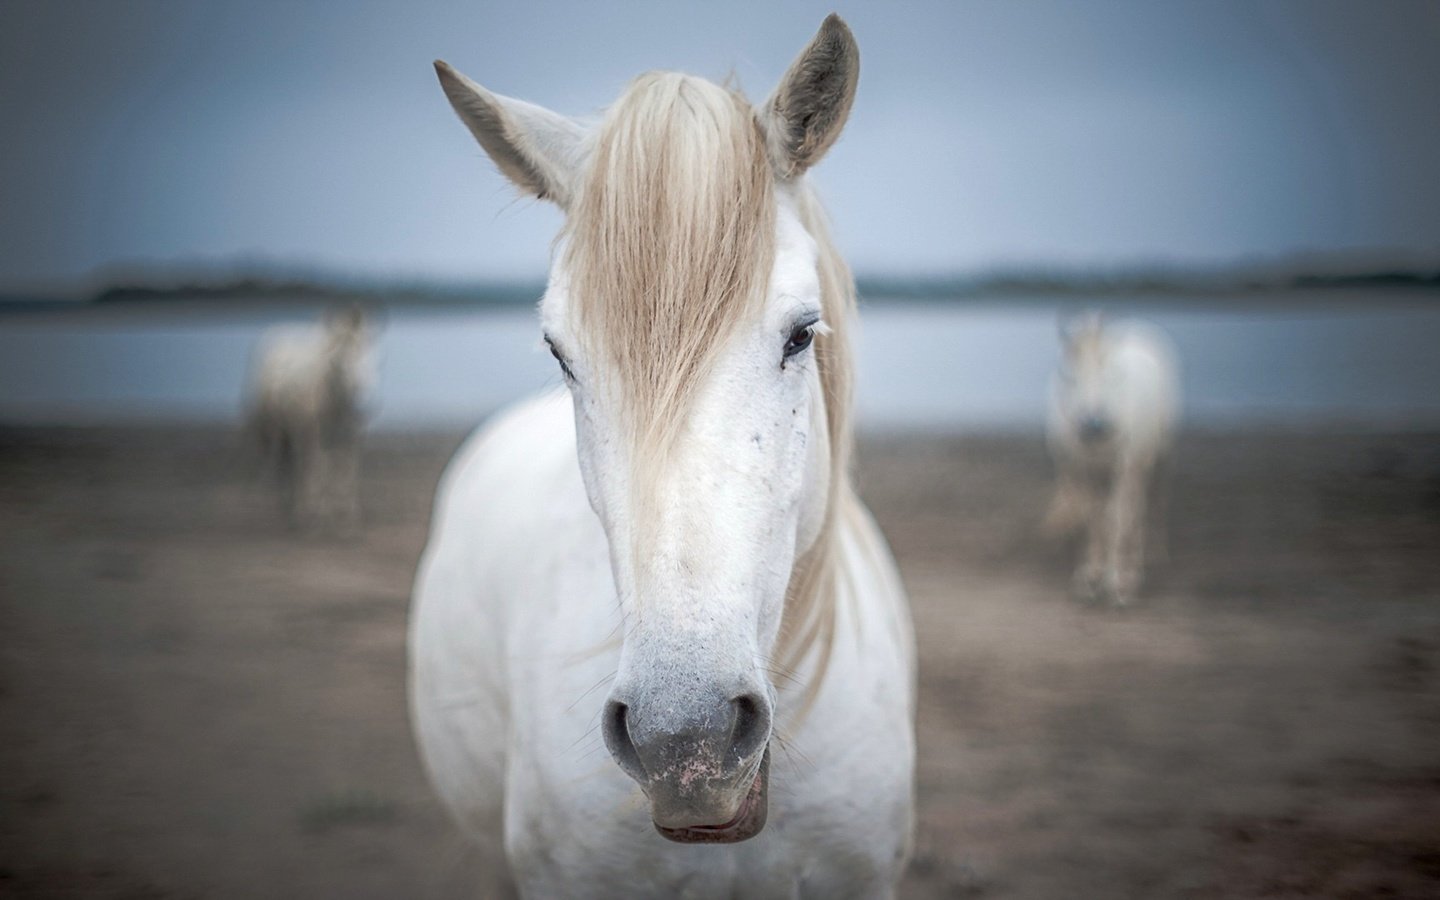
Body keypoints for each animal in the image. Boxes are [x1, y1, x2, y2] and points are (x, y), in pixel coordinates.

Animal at [244, 306, 374, 527]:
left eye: (368, 353)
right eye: (336, 359)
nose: (359, 392)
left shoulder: (349, 435)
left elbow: (346, 467)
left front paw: (347, 515)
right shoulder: (313, 433)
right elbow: (317, 466)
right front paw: (313, 514)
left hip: (290, 429)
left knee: (289, 461)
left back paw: (289, 505)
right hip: (273, 426)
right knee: (280, 461)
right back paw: (283, 507)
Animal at [1048, 313, 1180, 604]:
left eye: (1109, 373)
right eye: (1069, 376)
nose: (1093, 424)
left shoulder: (1125, 466)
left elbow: (1117, 518)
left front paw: (1119, 584)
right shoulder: (1085, 470)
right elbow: (1095, 519)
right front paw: (1090, 577)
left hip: (1157, 455)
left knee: (1149, 500)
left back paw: (1152, 554)